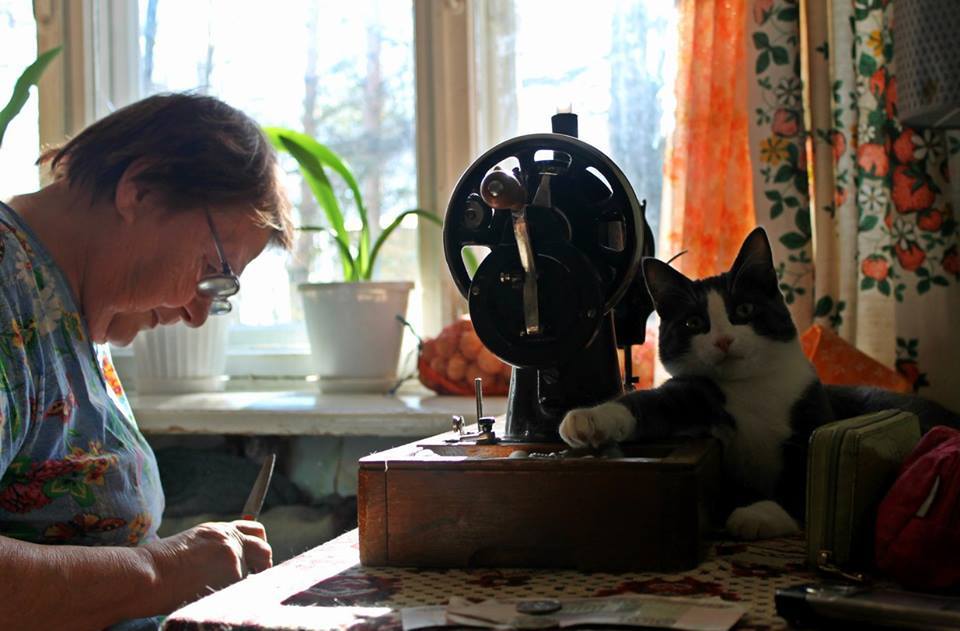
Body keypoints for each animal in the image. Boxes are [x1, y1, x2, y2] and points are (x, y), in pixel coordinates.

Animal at [560, 227, 956, 544]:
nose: (723, 340)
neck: (749, 388)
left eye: (745, 310)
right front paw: (588, 419)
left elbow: (807, 472)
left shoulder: (811, 409)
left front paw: (763, 513)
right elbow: (649, 404)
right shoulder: (695, 393)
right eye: (693, 323)